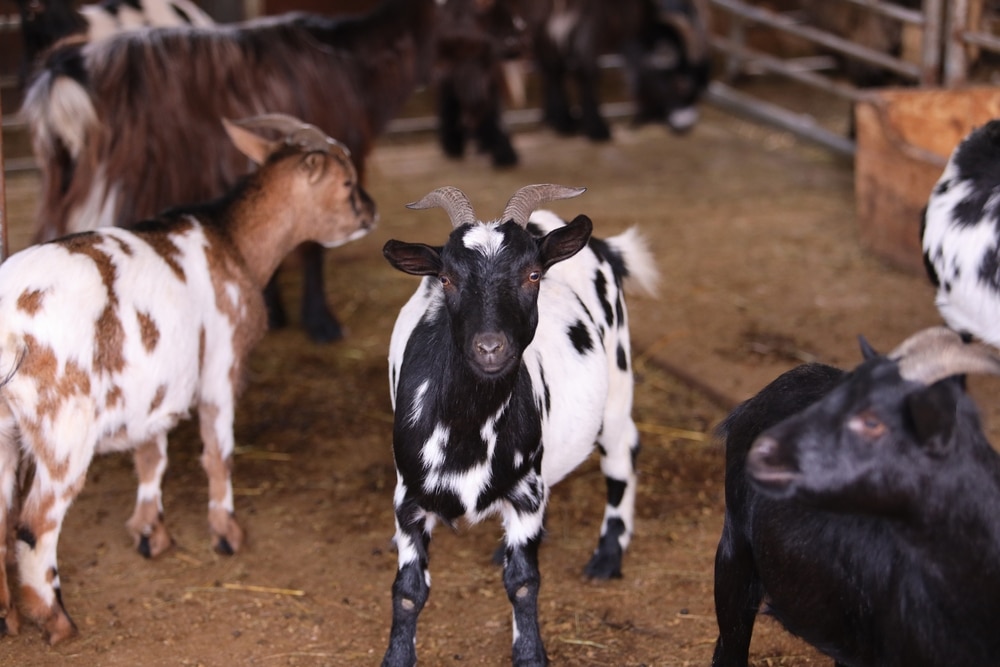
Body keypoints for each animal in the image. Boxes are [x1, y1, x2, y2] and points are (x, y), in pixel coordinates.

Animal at [0, 113, 376, 645]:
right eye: (346, 183)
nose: (372, 211)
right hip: (62, 429)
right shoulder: (220, 366)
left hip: (5, 431)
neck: (232, 240)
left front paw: (150, 535)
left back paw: (6, 618)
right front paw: (227, 534)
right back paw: (56, 620)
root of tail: (8, 319)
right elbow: (218, 452)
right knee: (33, 525)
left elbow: (151, 456)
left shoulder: (151, 387)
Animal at [381, 184, 658, 665]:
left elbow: (524, 583)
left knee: (623, 455)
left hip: (617, 386)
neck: (467, 433)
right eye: (447, 279)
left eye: (532, 275)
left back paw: (607, 557)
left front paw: (530, 654)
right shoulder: (408, 499)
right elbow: (409, 591)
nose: (491, 347)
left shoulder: (526, 492)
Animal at [528, 0, 711, 141]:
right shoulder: (587, 16)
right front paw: (596, 129)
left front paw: (558, 119)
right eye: (681, 84)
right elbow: (586, 70)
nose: (686, 124)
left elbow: (552, 64)